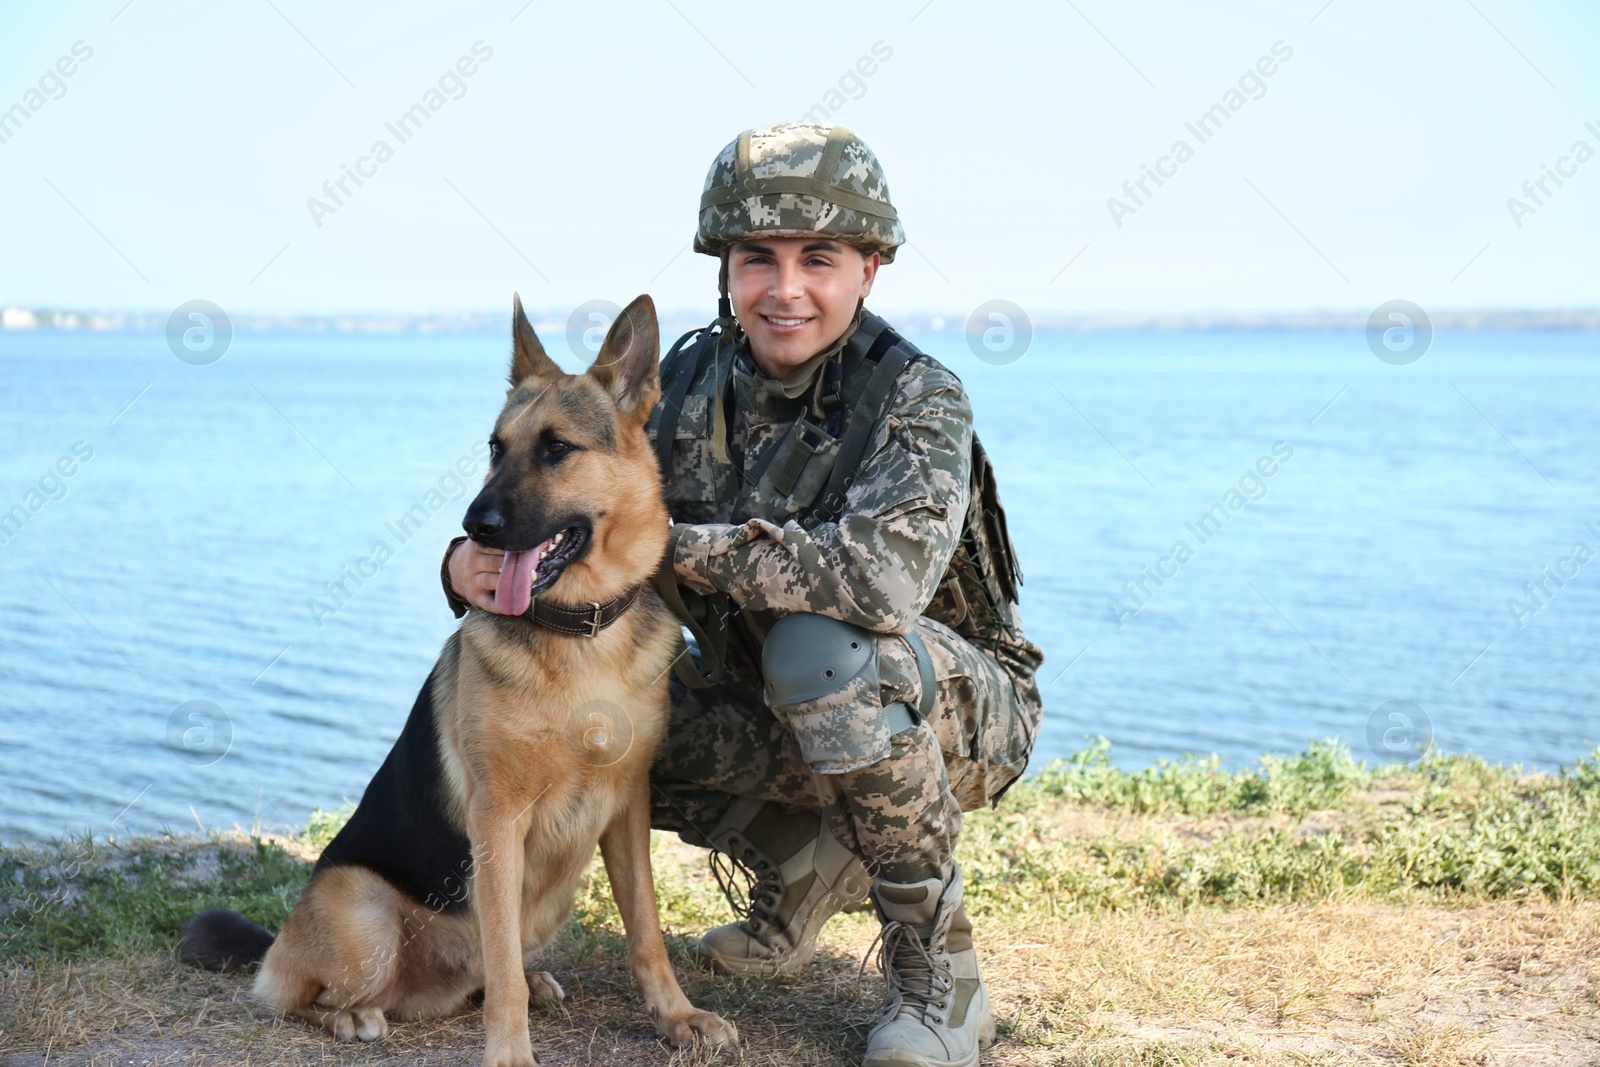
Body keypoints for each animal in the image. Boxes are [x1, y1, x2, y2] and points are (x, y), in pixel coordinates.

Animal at [183, 294, 736, 1067]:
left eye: (556, 448)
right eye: (496, 448)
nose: (473, 526)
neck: (581, 633)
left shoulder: (627, 806)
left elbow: (646, 931)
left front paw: (677, 1015)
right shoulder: (498, 819)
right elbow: (500, 961)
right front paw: (509, 1051)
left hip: (550, 896)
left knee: (482, 972)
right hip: (364, 909)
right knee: (304, 995)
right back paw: (353, 1016)